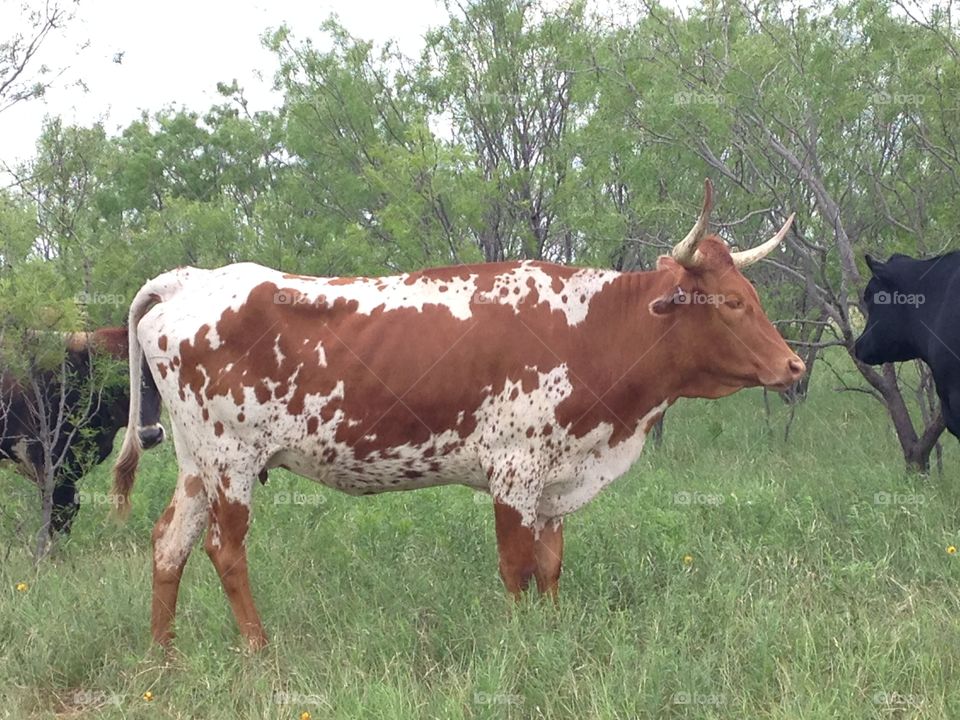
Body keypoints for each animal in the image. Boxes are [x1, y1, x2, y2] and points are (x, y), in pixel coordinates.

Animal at [110, 180, 804, 648]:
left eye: (751, 294)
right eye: (731, 303)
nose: (794, 367)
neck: (590, 329)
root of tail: (190, 280)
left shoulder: (554, 477)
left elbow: (550, 566)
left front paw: (553, 637)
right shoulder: (514, 471)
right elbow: (517, 568)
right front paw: (522, 646)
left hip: (197, 462)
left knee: (169, 543)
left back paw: (162, 657)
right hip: (230, 458)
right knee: (225, 549)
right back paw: (258, 651)